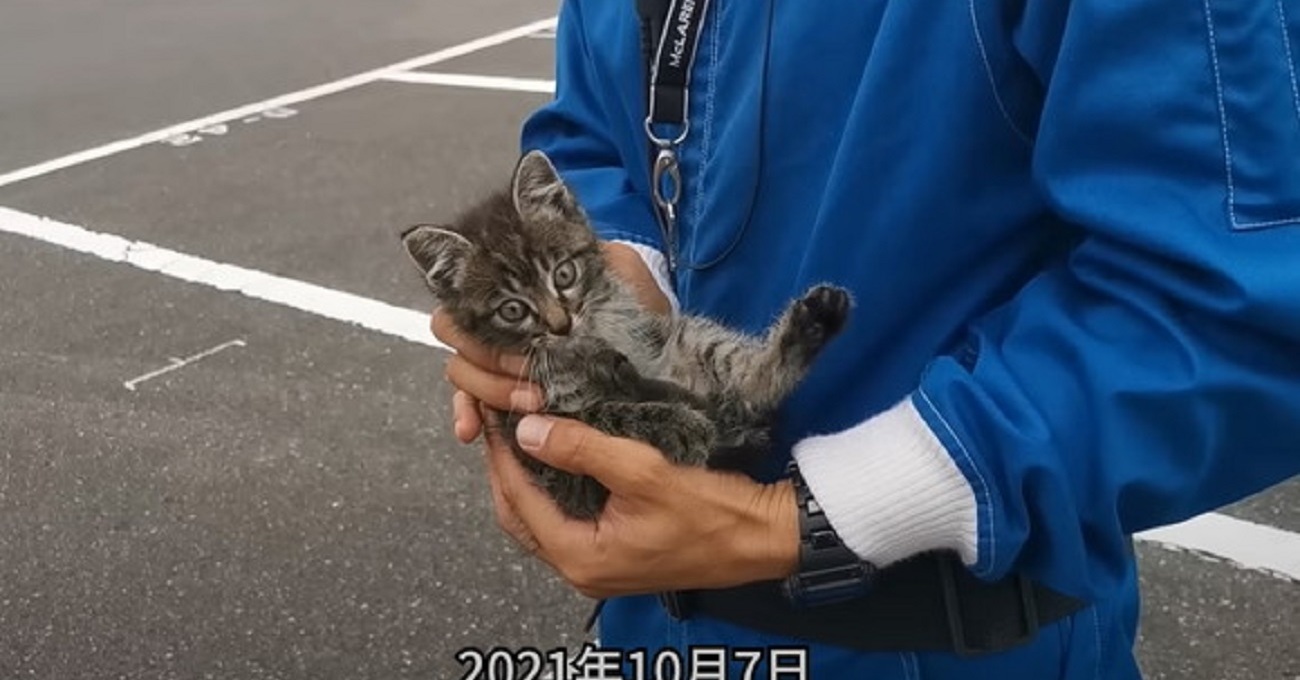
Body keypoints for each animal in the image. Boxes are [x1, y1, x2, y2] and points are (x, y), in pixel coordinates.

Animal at [402, 150, 851, 519]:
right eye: (512, 310)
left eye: (563, 274)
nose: (561, 324)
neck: (593, 338)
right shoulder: (544, 447)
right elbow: (606, 415)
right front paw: (674, 422)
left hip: (685, 339)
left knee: (746, 380)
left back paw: (809, 327)